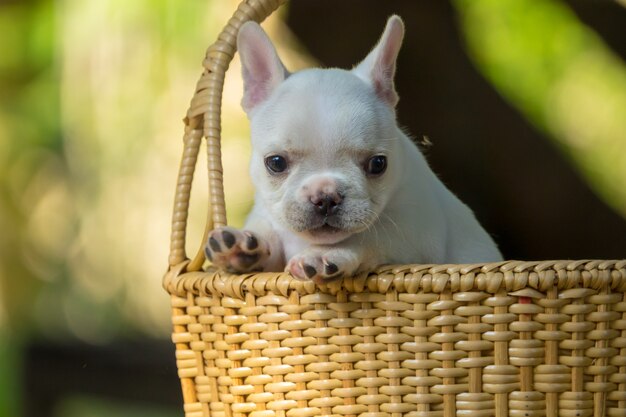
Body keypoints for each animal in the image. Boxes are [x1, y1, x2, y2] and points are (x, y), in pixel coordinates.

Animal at [206, 16, 502, 282]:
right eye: (276, 163)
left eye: (378, 164)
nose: (325, 196)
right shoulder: (268, 215)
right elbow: (269, 232)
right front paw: (243, 246)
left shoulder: (415, 232)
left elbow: (370, 236)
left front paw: (323, 255)